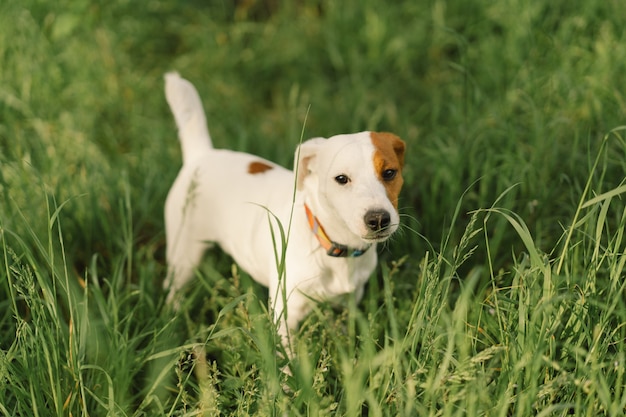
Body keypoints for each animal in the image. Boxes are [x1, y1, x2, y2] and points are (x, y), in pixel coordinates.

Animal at [162, 72, 404, 348]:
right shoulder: (286, 312)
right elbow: (288, 354)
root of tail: (201, 155)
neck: (329, 242)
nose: (378, 219)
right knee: (173, 286)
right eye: (341, 179)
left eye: (389, 173)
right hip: (183, 254)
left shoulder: (349, 300)